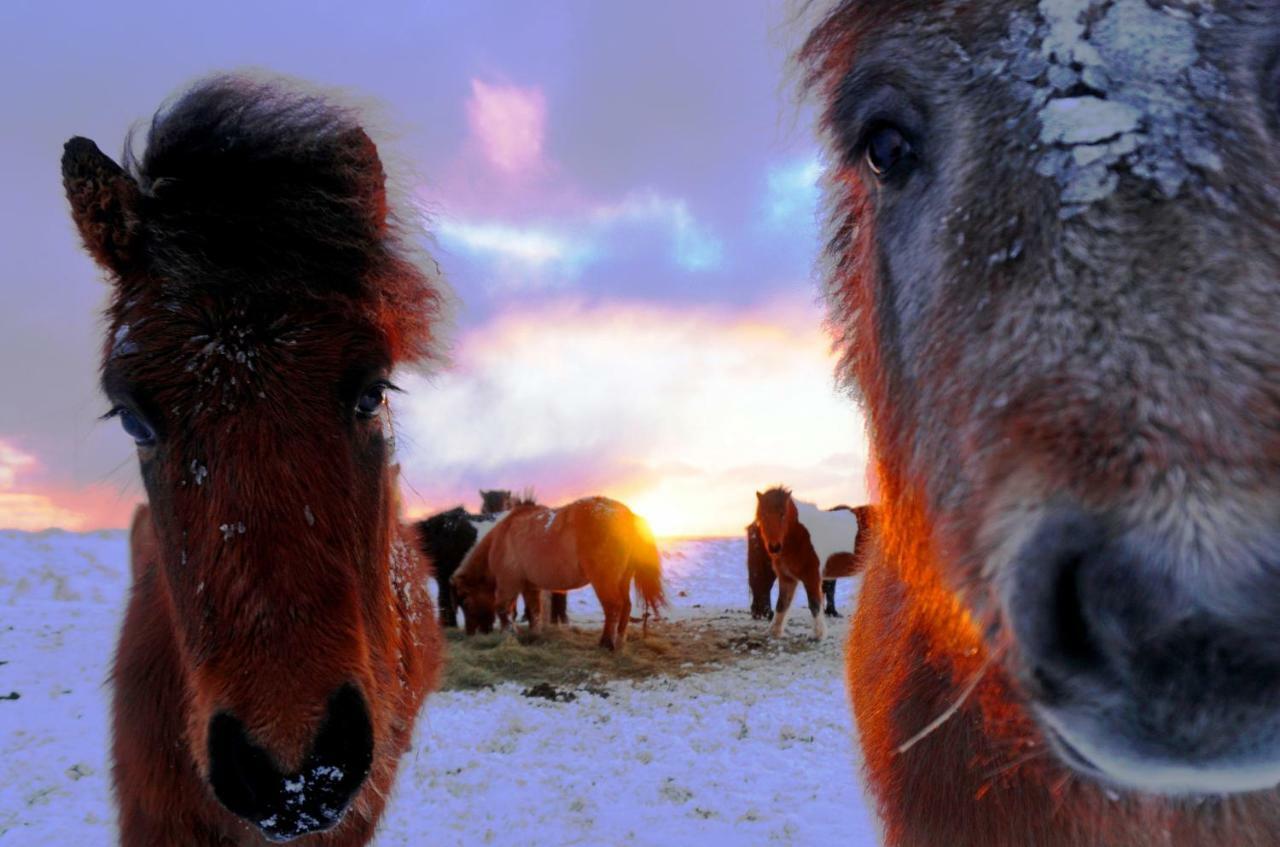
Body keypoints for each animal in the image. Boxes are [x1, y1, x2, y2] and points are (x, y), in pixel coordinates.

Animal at [453, 498, 670, 649]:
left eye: (466, 601)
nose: (470, 634)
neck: (501, 540)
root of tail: (629, 516)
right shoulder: (530, 586)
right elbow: (534, 611)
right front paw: (535, 634)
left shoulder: (509, 584)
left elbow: (503, 608)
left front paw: (509, 634)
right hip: (622, 579)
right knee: (625, 606)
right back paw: (619, 640)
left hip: (604, 581)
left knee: (613, 607)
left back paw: (606, 643)